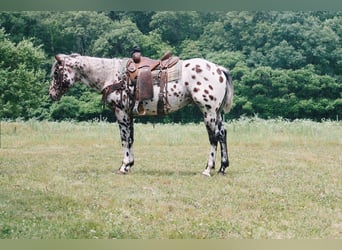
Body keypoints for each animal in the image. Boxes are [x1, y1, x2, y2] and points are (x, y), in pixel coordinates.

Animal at [48, 53, 235, 177]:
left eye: (56, 73)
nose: (51, 94)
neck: (111, 75)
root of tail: (219, 69)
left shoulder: (121, 113)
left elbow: (124, 139)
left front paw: (123, 166)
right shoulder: (129, 115)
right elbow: (130, 139)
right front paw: (129, 164)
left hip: (208, 111)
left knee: (213, 137)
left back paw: (208, 169)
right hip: (217, 113)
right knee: (222, 134)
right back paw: (223, 167)